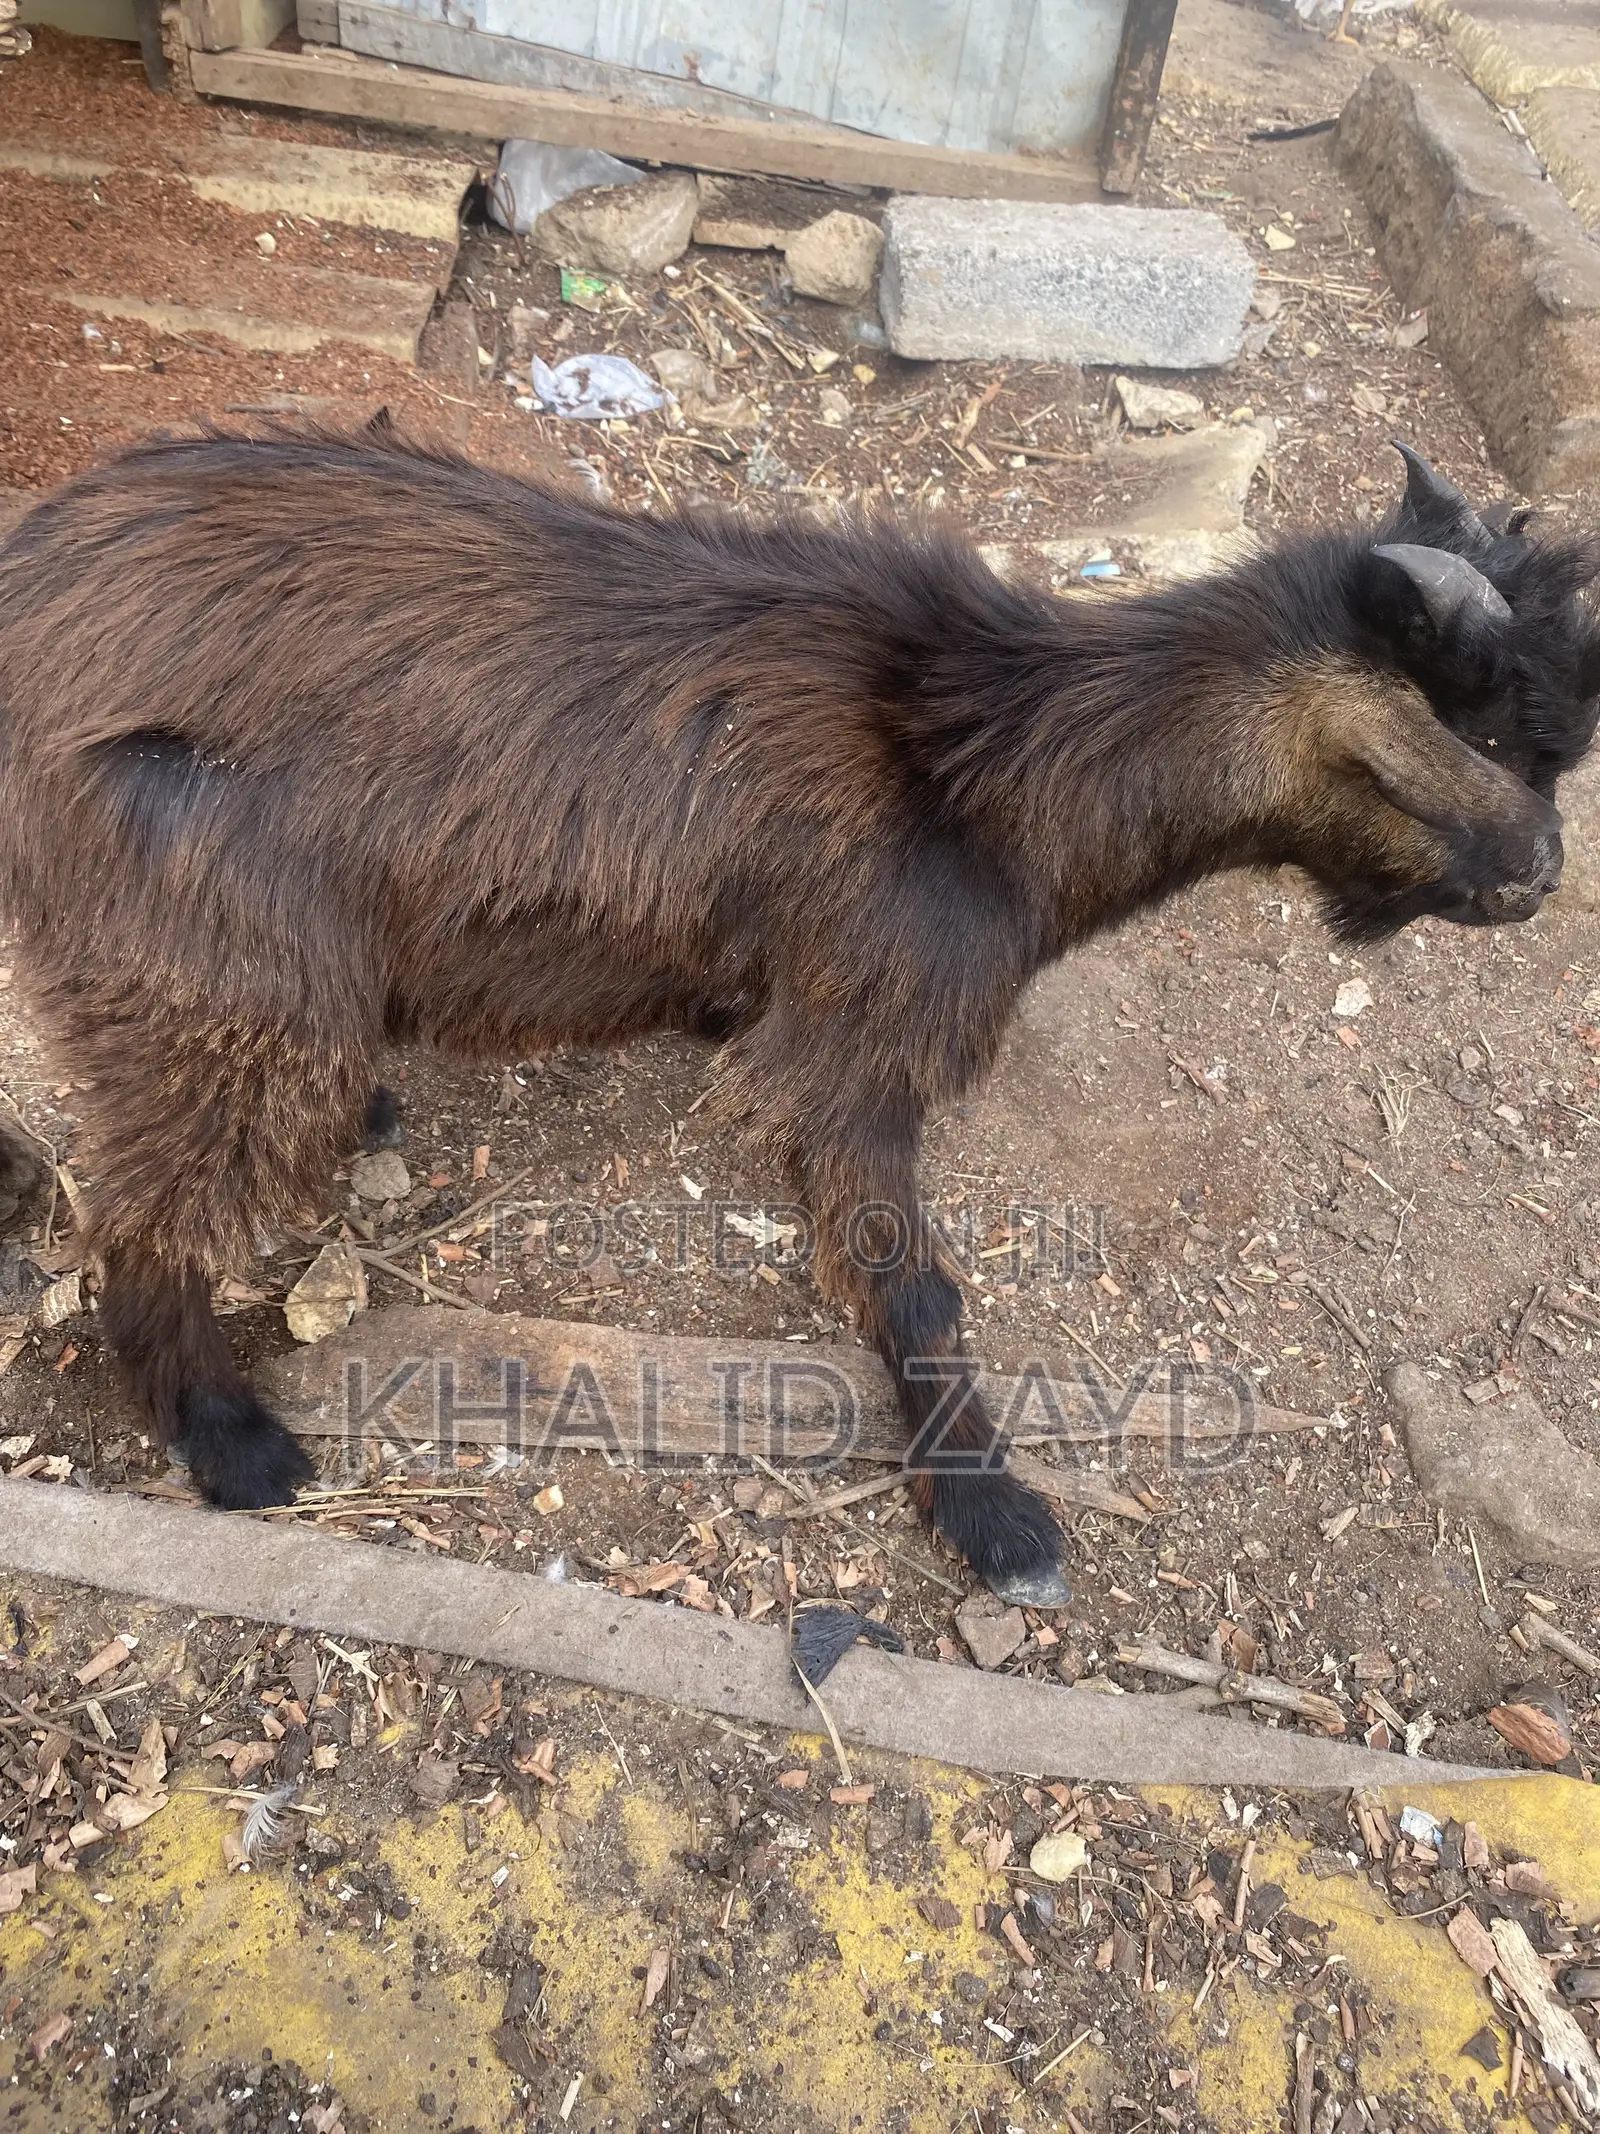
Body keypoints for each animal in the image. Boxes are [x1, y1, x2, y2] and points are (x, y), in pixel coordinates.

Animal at [0, 426, 1594, 1606]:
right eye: (1486, 723)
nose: (1539, 876)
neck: (992, 764)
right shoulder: (863, 1034)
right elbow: (912, 1278)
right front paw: (991, 1509)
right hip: (211, 957)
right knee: (141, 1210)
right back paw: (227, 1438)